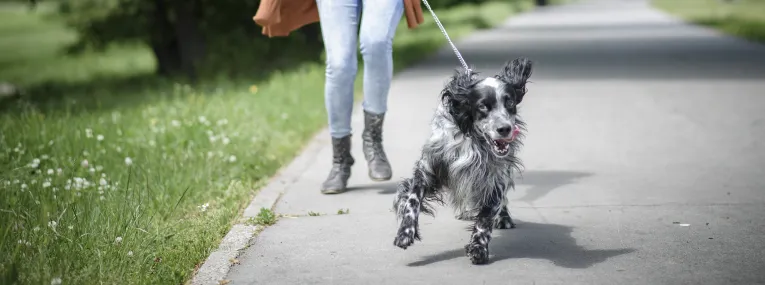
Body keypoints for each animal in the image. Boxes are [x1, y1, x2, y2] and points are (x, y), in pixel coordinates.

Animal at [394, 57, 532, 264]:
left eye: (510, 102)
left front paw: (479, 247)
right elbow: (412, 200)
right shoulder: (428, 167)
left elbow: (486, 216)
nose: (505, 129)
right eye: (483, 106)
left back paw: (504, 218)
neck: (473, 139)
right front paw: (405, 232)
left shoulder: (494, 177)